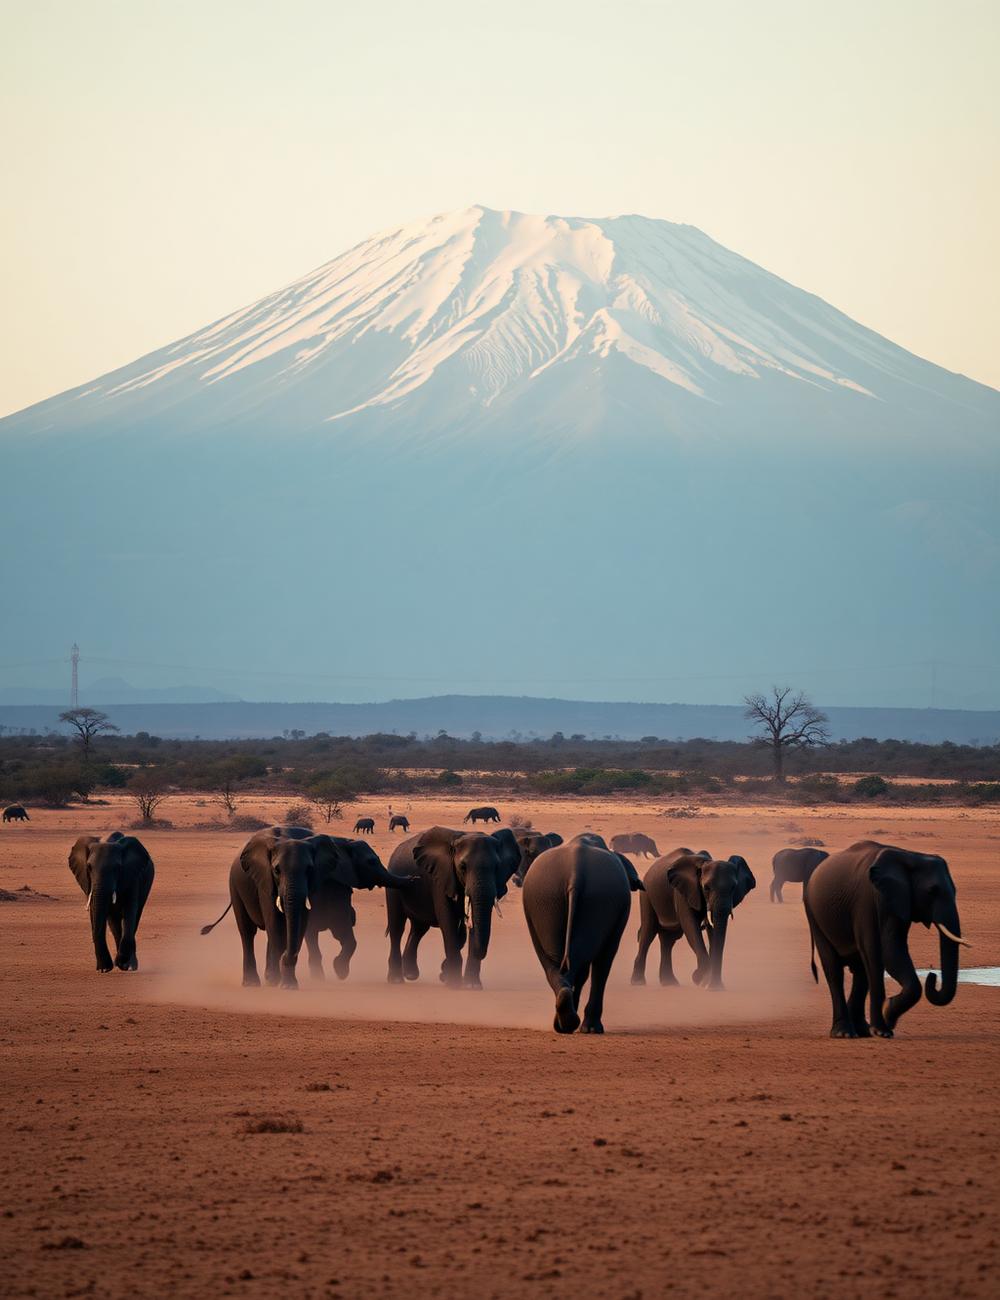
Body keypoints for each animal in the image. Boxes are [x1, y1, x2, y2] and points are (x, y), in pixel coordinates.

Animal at [68, 832, 154, 972]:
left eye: (117, 868)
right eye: (89, 867)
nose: (103, 968)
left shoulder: (132, 875)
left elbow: (130, 911)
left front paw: (124, 965)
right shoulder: (87, 882)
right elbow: (95, 910)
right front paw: (104, 969)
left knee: (134, 918)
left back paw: (129, 965)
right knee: (114, 923)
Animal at [386, 825, 521, 988]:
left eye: (497, 867)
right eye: (463, 867)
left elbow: (464, 932)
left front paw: (470, 986)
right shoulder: (440, 877)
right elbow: (448, 921)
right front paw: (454, 984)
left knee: (419, 929)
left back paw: (410, 974)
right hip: (393, 882)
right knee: (397, 928)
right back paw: (396, 979)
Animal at [521, 833, 644, 1034]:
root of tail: (575, 874)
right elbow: (604, 960)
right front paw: (591, 1029)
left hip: (544, 901)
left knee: (555, 963)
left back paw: (565, 1020)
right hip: (591, 901)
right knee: (581, 962)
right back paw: (577, 1024)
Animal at [630, 848, 755, 990]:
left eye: (733, 888)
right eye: (706, 888)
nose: (714, 984)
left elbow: (713, 931)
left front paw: (715, 987)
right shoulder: (683, 892)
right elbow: (691, 927)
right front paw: (700, 979)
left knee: (669, 939)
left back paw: (670, 983)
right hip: (646, 894)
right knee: (648, 933)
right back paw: (638, 982)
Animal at [803, 840, 968, 1039]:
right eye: (932, 891)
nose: (932, 976)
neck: (910, 856)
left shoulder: (898, 901)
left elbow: (892, 951)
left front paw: (886, 1016)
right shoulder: (867, 900)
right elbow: (880, 952)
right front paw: (884, 1026)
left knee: (860, 971)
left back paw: (862, 1031)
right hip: (814, 915)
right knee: (834, 969)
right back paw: (844, 1033)